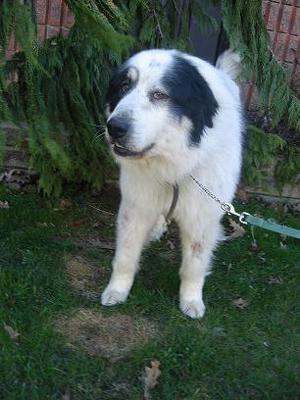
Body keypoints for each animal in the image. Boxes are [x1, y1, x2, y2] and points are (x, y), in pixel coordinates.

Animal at [102, 48, 243, 318]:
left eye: (159, 95)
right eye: (124, 86)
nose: (114, 127)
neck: (174, 166)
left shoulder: (201, 216)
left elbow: (194, 266)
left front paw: (191, 301)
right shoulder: (136, 206)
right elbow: (125, 256)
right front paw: (117, 291)